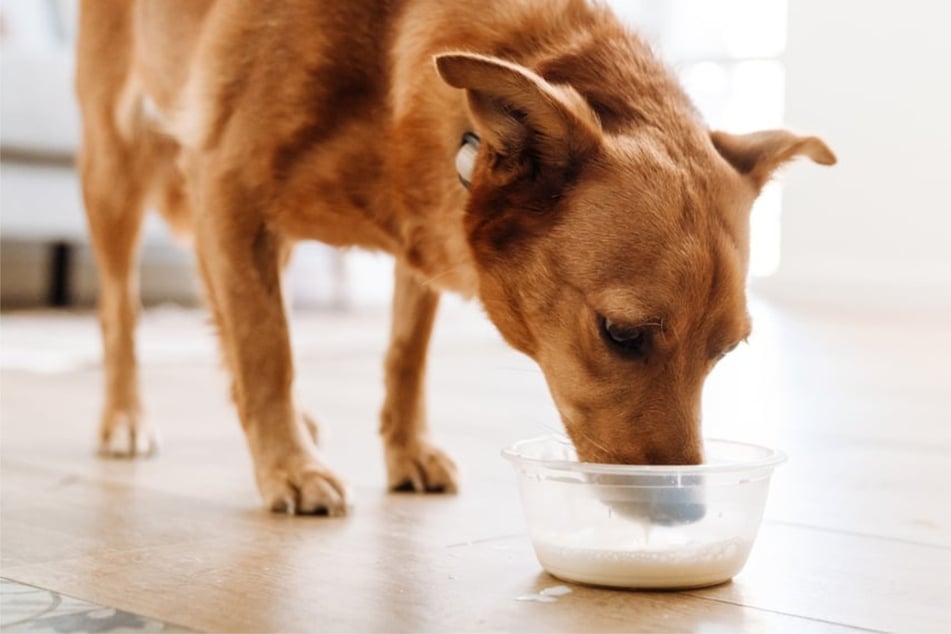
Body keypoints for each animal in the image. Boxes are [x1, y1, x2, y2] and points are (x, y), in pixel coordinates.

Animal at [74, 0, 832, 512]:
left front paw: (403, 449)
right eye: (621, 334)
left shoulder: (418, 238)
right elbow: (269, 349)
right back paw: (126, 419)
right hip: (116, 169)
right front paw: (290, 467)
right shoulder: (226, 191)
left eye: (725, 352)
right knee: (122, 313)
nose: (686, 512)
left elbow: (404, 356)